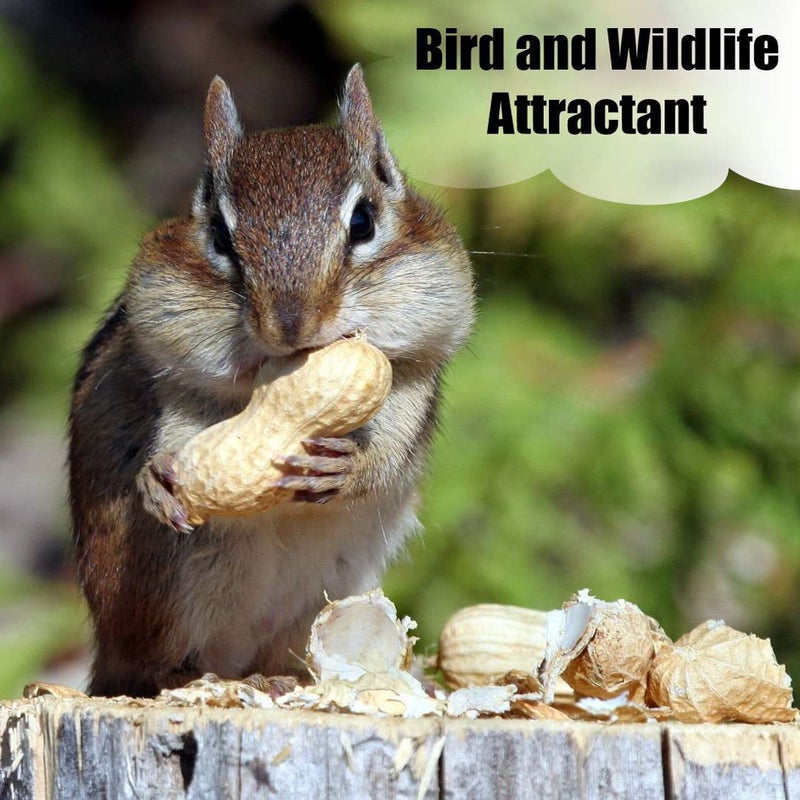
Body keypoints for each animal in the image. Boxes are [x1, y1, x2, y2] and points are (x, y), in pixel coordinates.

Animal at [69, 65, 474, 697]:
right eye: (218, 236)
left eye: (363, 222)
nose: (290, 326)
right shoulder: (177, 382)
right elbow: (174, 437)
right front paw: (158, 481)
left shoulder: (411, 382)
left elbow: (389, 454)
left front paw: (348, 467)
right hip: (172, 582)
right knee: (156, 668)